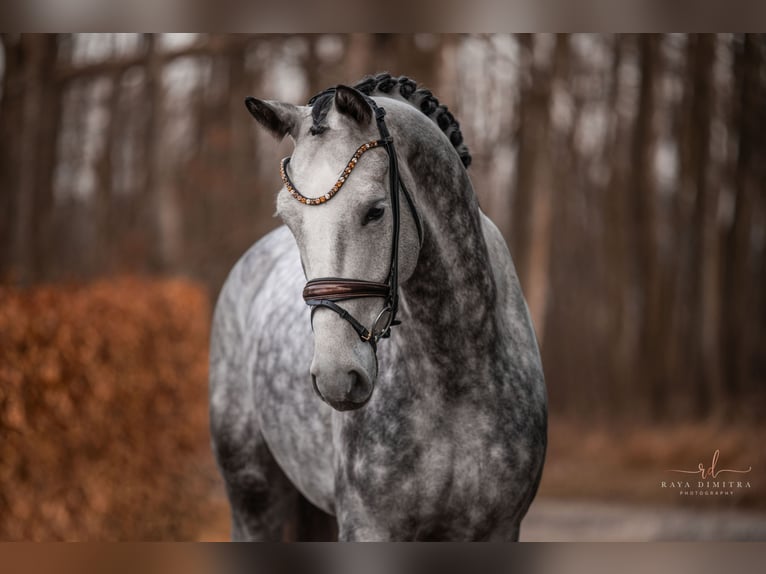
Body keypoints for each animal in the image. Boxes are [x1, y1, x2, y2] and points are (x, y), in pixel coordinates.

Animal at [208, 74, 544, 544]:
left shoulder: (499, 529)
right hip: (253, 498)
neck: (456, 376)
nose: (336, 377)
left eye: (376, 211)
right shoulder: (369, 527)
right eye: (288, 218)